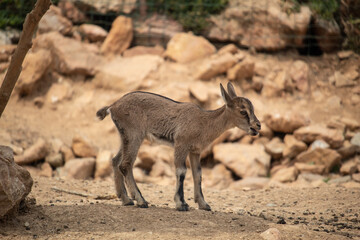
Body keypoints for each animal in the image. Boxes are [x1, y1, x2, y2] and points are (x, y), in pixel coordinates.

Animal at [95, 81, 260, 211]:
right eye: (243, 111)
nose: (257, 126)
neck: (204, 122)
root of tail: (113, 106)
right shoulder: (181, 144)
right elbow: (181, 171)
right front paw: (181, 204)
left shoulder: (195, 151)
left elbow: (198, 174)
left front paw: (203, 204)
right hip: (134, 135)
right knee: (125, 164)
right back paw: (141, 200)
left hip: (125, 137)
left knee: (116, 161)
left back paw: (126, 199)